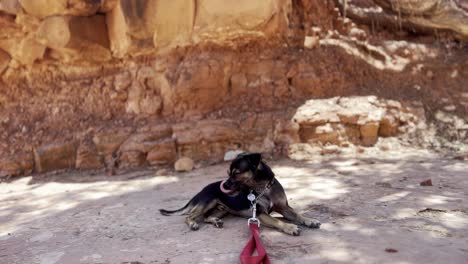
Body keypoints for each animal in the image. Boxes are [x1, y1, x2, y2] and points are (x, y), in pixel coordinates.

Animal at [159, 153, 320, 235]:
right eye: (228, 173)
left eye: (236, 173)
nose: (224, 185)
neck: (263, 188)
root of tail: (200, 192)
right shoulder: (260, 213)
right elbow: (277, 221)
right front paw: (290, 227)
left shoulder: (284, 208)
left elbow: (297, 214)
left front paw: (310, 220)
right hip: (208, 201)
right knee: (189, 216)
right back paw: (193, 223)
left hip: (222, 209)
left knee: (206, 217)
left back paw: (215, 221)